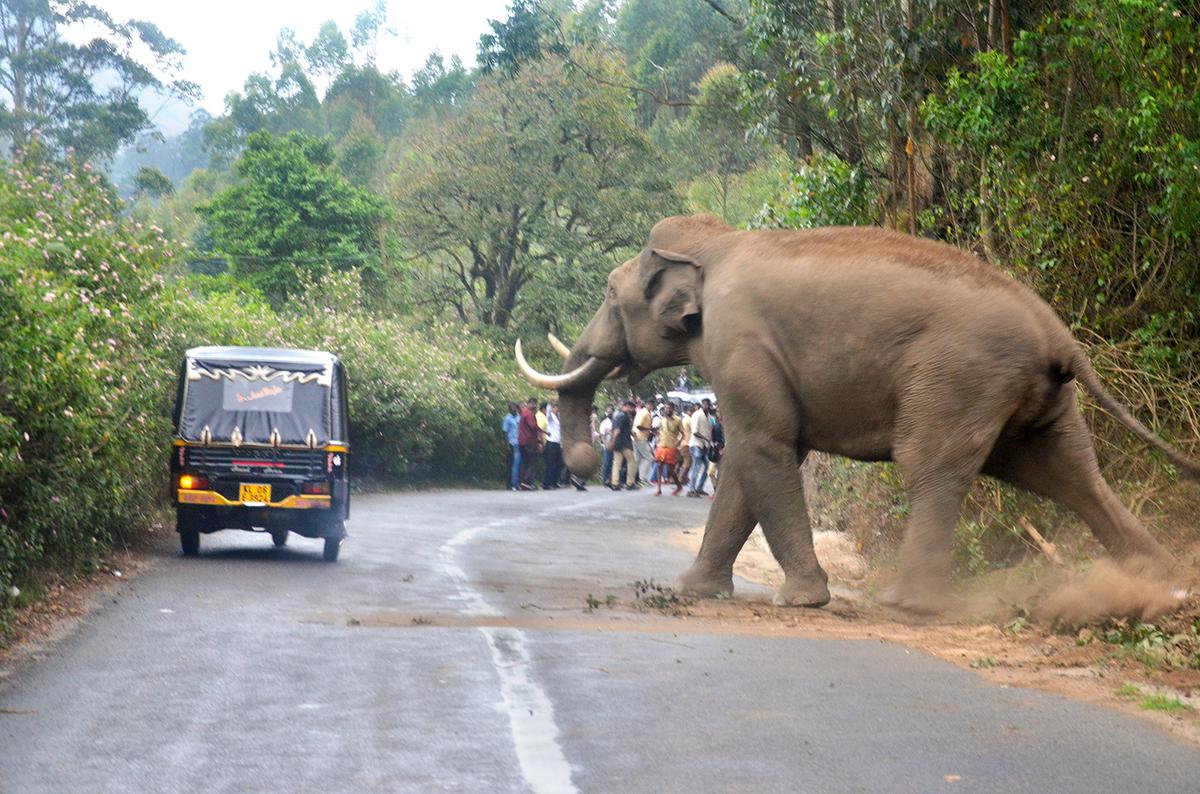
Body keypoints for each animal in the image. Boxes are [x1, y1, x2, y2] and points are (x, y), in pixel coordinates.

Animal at [511, 214, 1195, 611]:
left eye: (608, 291)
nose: (580, 460)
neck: (717, 240)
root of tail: (1058, 334)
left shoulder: (740, 343)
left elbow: (764, 449)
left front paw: (802, 601)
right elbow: (750, 466)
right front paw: (693, 591)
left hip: (957, 379)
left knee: (934, 467)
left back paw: (905, 603)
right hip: (1033, 395)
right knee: (1067, 472)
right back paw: (1158, 581)